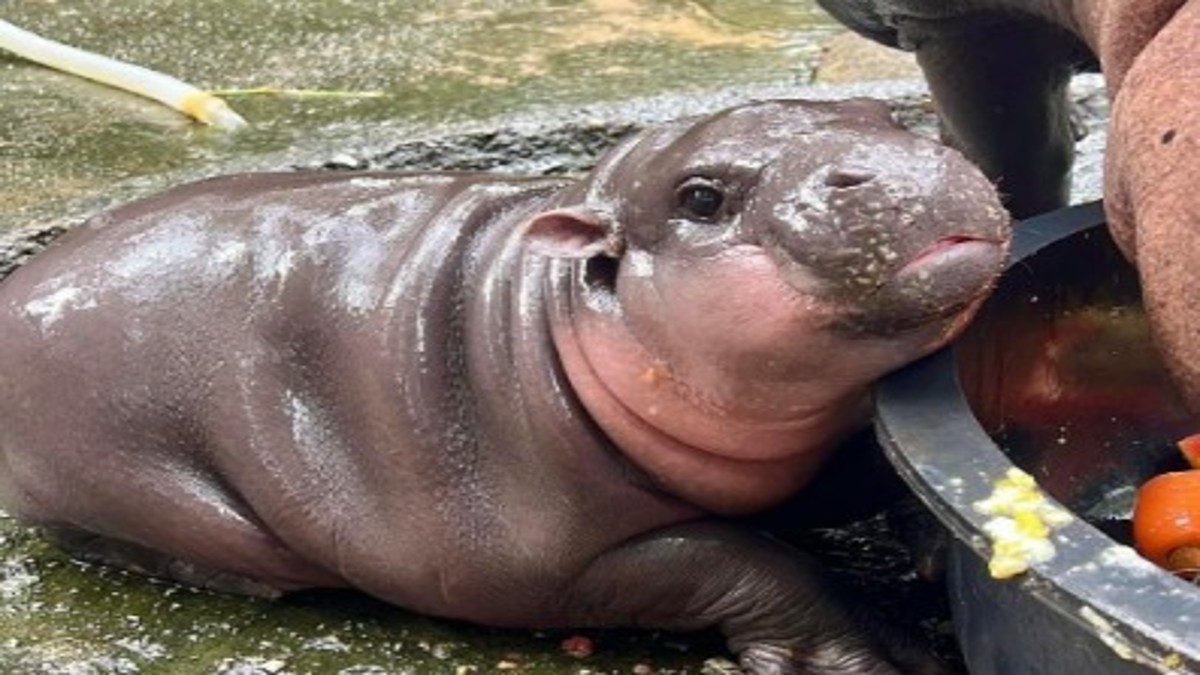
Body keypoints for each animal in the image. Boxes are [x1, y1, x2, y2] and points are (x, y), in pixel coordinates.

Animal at [0, 99, 1009, 675]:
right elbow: (741, 561)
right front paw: (880, 651)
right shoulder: (549, 562)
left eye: (880, 114)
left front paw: (926, 543)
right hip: (128, 482)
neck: (553, 317)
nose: (899, 161)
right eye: (700, 198)